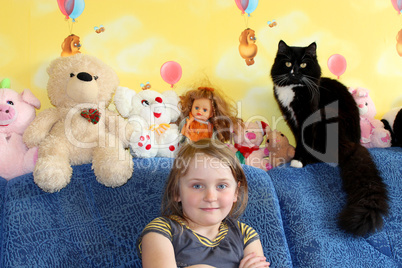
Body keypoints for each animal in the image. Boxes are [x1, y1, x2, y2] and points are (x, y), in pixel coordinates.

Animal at [270, 39, 390, 237]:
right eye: (287, 63)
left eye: (303, 64)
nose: (295, 71)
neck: (294, 88)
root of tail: (354, 144)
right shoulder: (292, 120)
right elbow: (298, 139)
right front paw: (296, 156)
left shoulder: (307, 119)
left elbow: (304, 141)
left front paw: (299, 160)